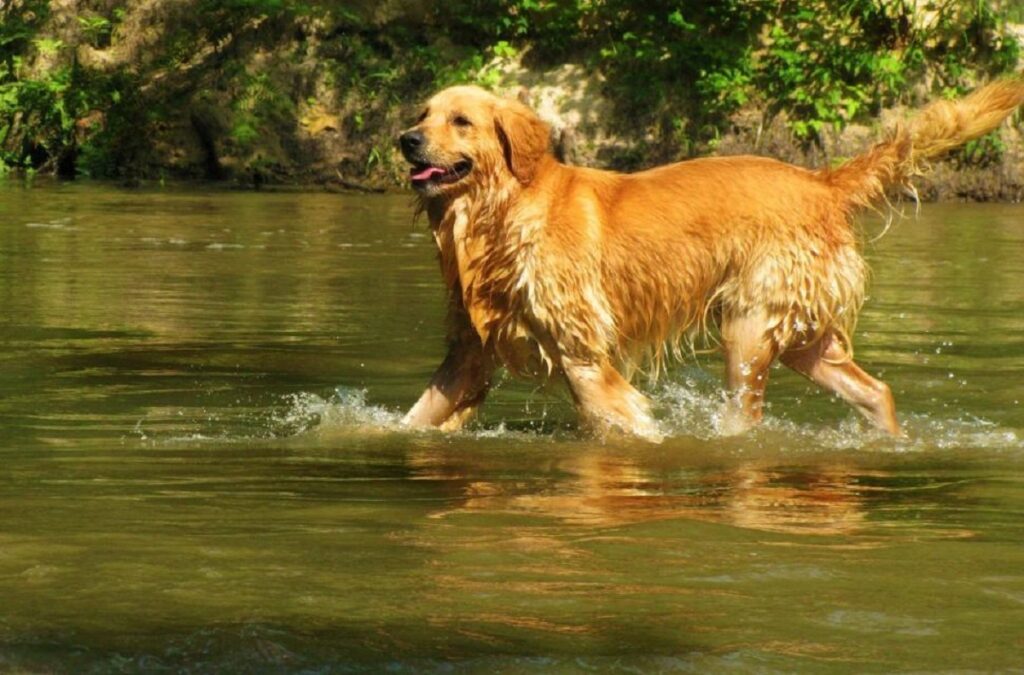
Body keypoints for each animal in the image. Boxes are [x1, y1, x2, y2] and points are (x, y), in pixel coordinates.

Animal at [397, 79, 1024, 440]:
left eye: (461, 121)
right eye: (422, 113)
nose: (406, 139)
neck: (498, 215)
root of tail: (821, 183)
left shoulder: (582, 356)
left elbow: (624, 421)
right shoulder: (470, 352)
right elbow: (414, 417)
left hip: (749, 326)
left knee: (747, 418)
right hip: (803, 337)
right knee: (877, 391)